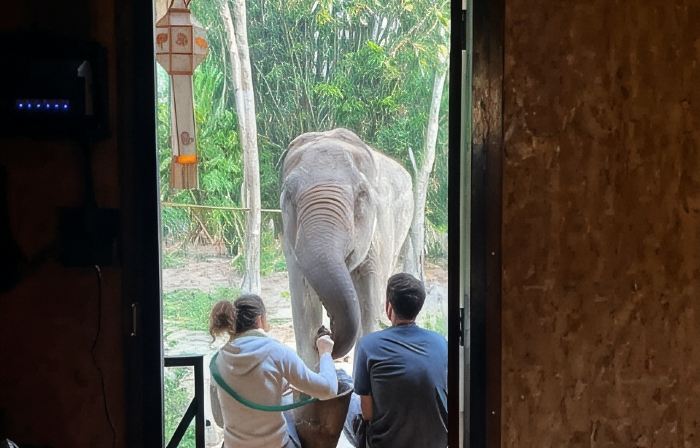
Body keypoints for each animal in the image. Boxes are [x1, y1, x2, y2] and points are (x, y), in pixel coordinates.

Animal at [280, 128, 414, 365]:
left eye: (362, 194)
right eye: (288, 193)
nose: (326, 331)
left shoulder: (379, 229)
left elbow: (369, 305)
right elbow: (303, 308)